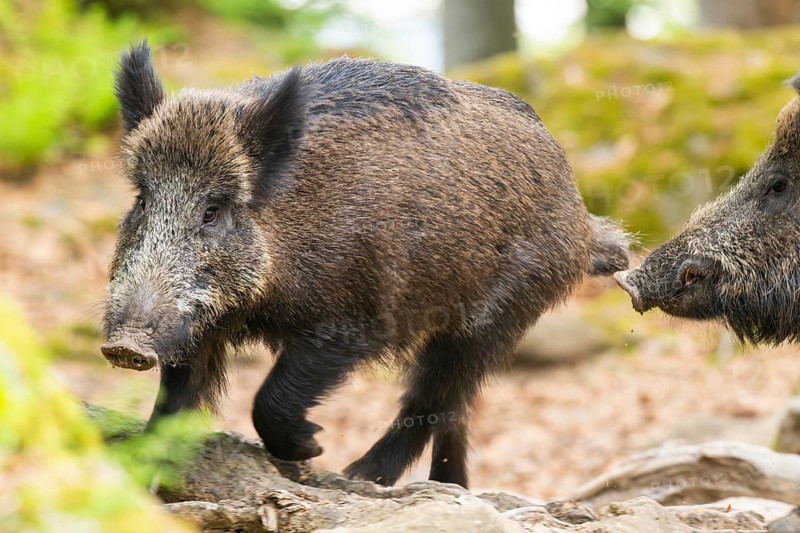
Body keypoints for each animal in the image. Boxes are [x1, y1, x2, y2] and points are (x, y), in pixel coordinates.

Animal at [101, 41, 629, 488]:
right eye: (142, 199)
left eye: (212, 211)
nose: (125, 346)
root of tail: (582, 221)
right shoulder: (199, 328)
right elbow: (175, 399)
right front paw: (143, 464)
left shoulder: (355, 318)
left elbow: (270, 399)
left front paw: (311, 451)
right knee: (456, 407)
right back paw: (448, 485)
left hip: (494, 318)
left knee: (434, 398)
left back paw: (362, 475)